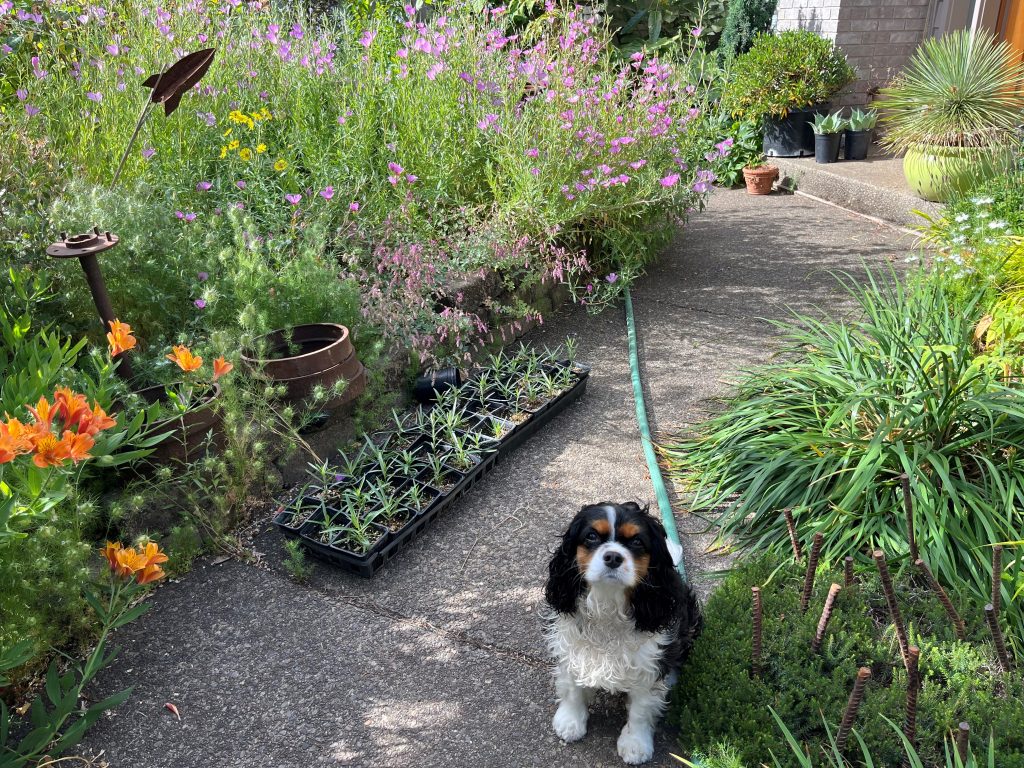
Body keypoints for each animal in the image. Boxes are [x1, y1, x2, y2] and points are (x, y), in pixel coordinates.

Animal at [544, 505, 704, 765]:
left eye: (637, 541)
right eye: (591, 536)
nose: (613, 557)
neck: (608, 602)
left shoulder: (648, 664)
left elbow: (641, 709)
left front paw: (636, 743)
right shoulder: (572, 647)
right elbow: (572, 688)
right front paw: (569, 721)